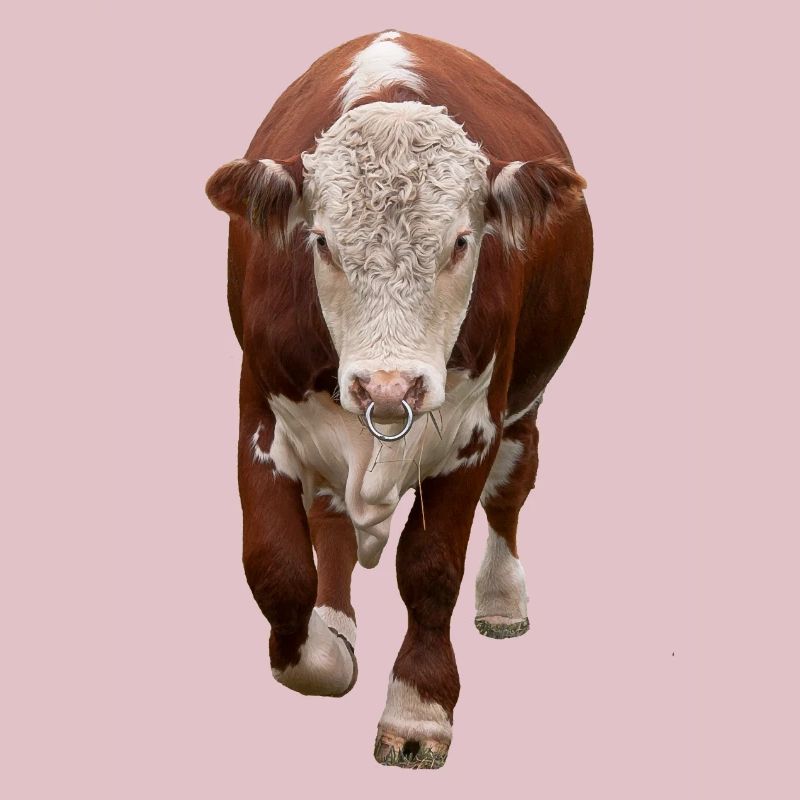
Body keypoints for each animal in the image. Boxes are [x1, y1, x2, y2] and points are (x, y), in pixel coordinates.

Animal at [205, 29, 593, 769]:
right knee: (329, 519)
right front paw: (327, 651)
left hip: (528, 401)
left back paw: (503, 599)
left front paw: (418, 712)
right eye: (321, 241)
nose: (389, 385)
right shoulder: (259, 410)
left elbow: (431, 566)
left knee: (513, 488)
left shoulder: (475, 426)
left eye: (462, 242)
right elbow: (276, 565)